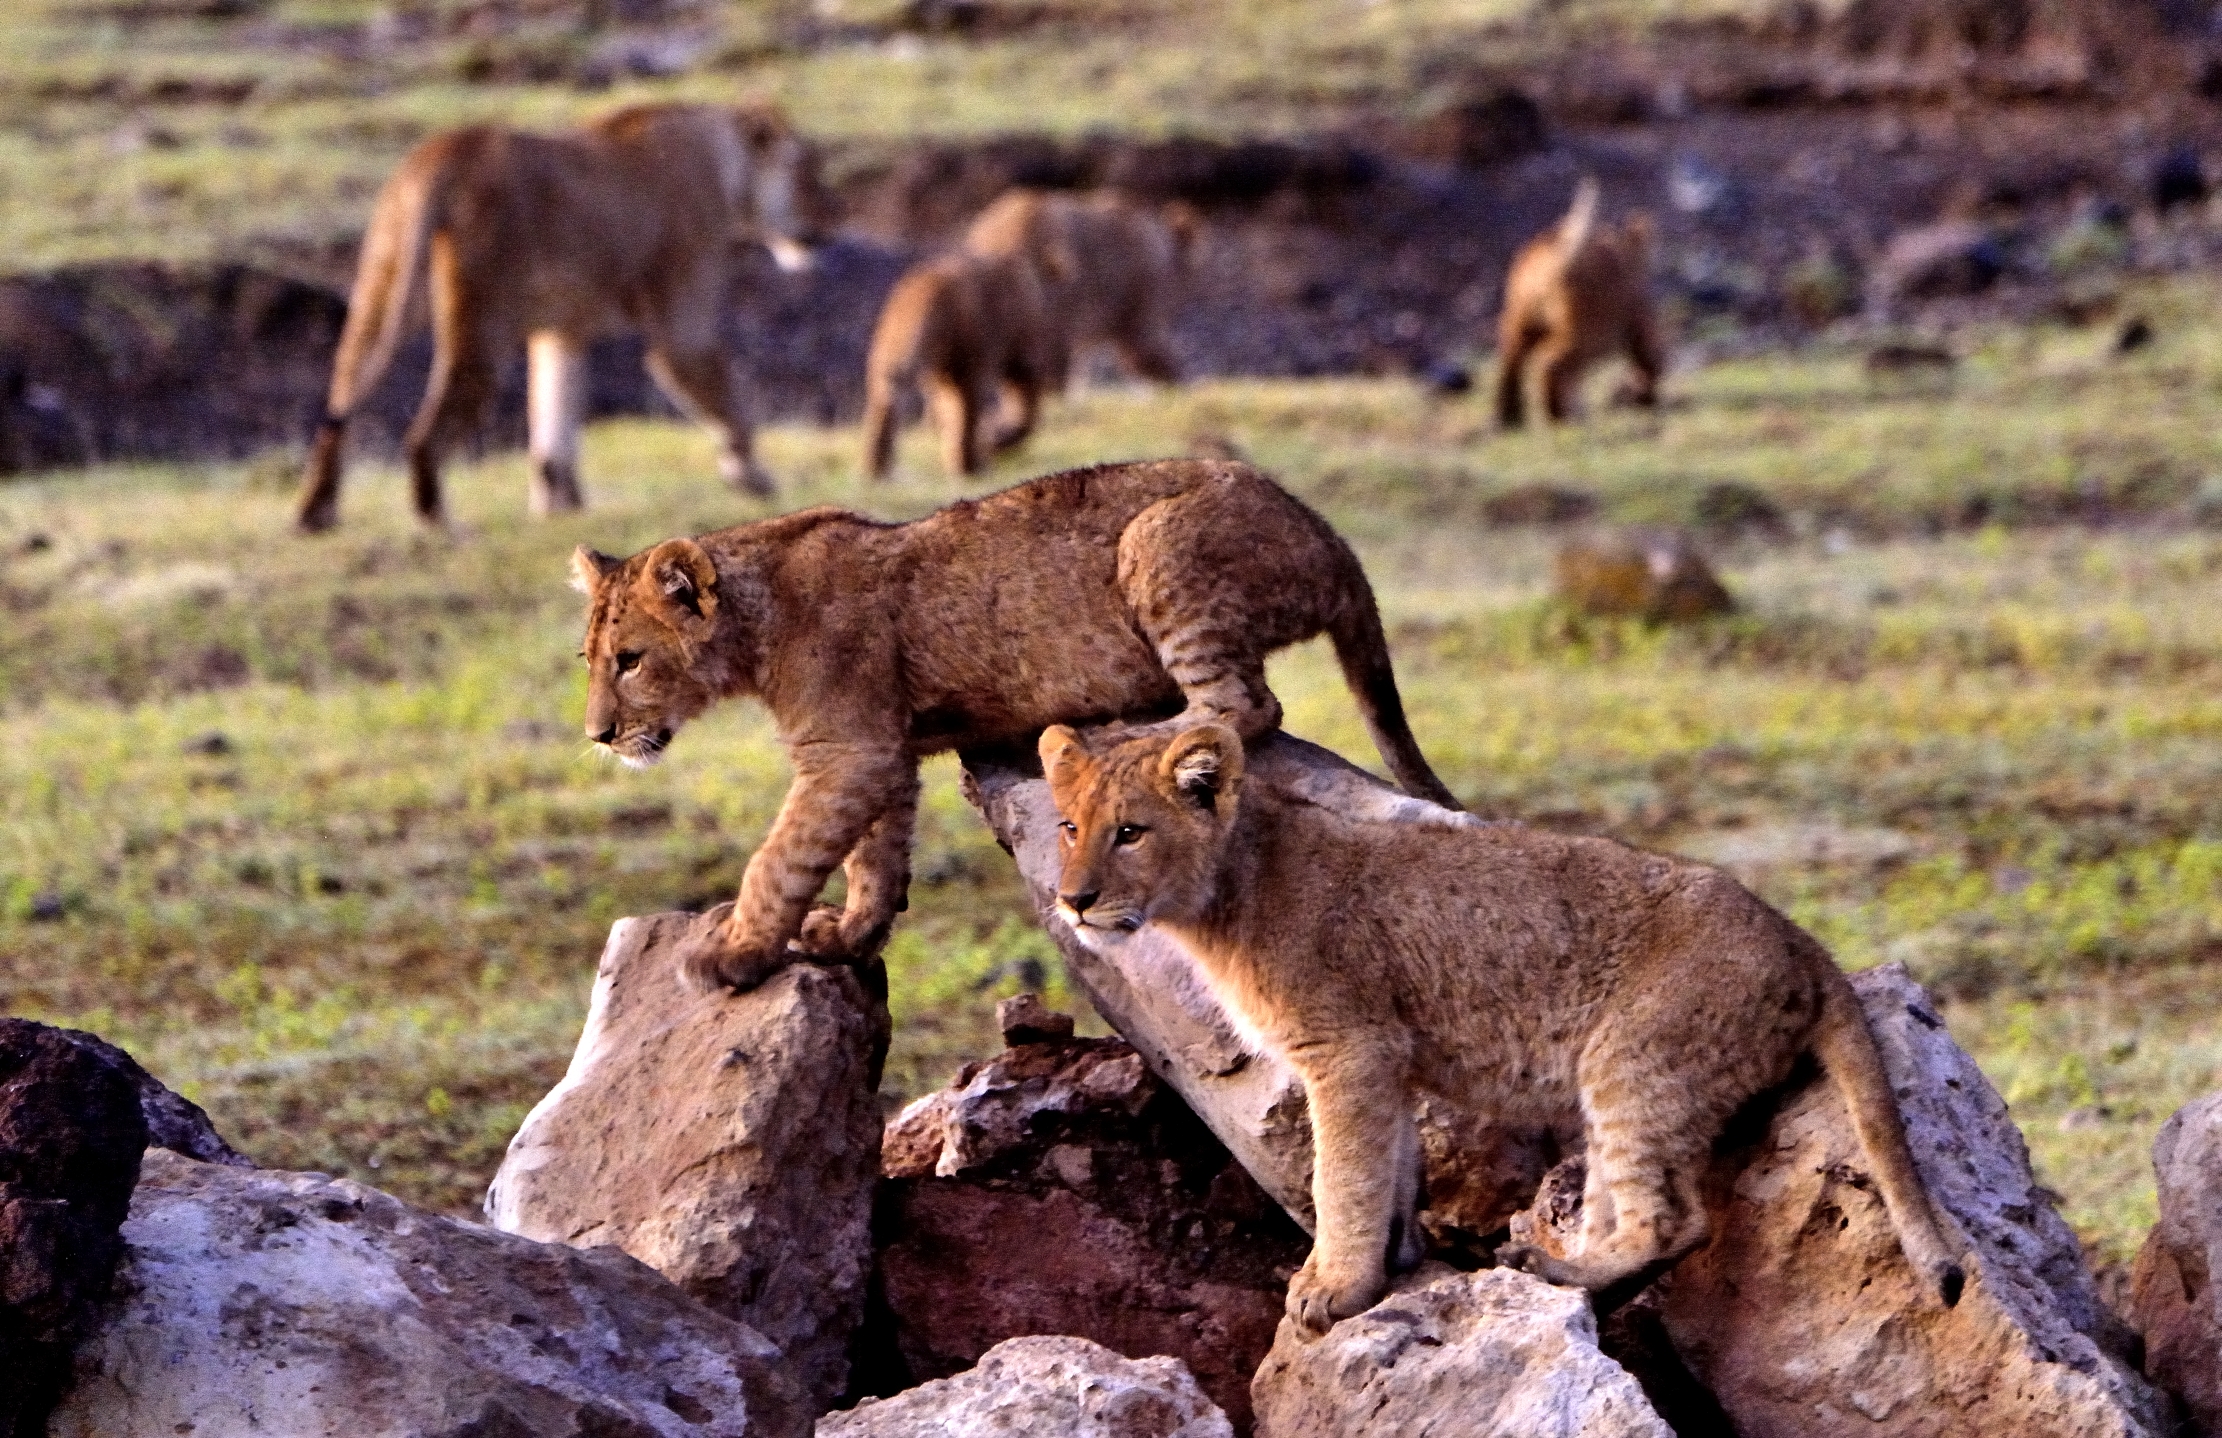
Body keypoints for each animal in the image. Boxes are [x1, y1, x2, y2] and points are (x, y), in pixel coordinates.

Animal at [295, 102, 828, 534]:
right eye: (807, 169)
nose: (827, 223)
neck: (724, 163)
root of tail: (446, 152)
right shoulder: (683, 323)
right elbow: (729, 399)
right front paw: (753, 477)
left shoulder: (562, 332)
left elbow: (555, 416)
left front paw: (558, 506)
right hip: (484, 321)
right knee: (427, 430)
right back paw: (441, 523)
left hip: (381, 287)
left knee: (343, 392)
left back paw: (316, 513)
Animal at [568, 457, 1461, 993]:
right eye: (590, 659)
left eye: (631, 661)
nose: (598, 736)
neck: (755, 625)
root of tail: (1330, 535)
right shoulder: (884, 751)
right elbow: (874, 858)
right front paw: (847, 936)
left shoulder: (847, 751)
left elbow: (781, 856)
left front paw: (733, 956)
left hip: (1158, 542)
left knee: (1248, 707)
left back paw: (1123, 732)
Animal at [1037, 720, 1965, 1336]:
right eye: (1070, 827)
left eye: (1131, 832)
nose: (1074, 901)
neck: (1225, 896)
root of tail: (1796, 934)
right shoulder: (1388, 1062)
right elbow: (1390, 1169)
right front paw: (1397, 1260)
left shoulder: (1348, 1052)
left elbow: (1342, 1177)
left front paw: (1331, 1287)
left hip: (1632, 1061)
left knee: (1673, 1220)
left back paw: (1553, 1265)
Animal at [1493, 179, 1663, 428]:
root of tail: (1559, 252)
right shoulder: (1640, 321)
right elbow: (1652, 360)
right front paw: (1644, 396)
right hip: (1590, 335)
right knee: (1548, 363)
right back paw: (1557, 417)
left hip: (1518, 323)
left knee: (1511, 364)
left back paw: (1509, 418)